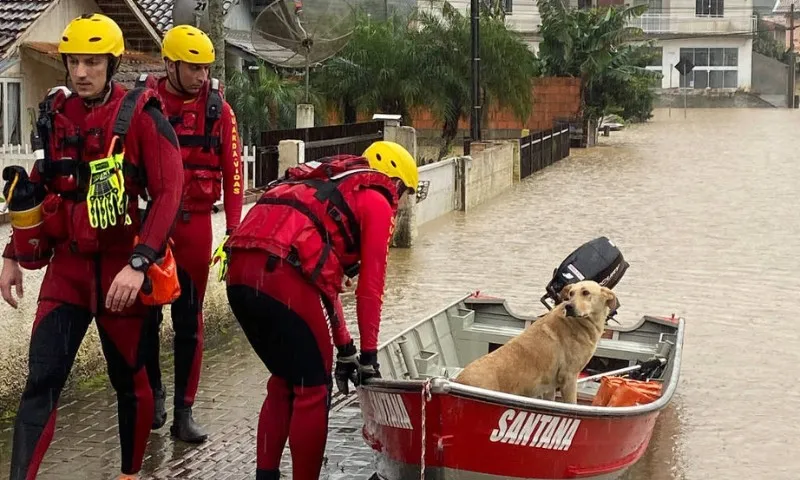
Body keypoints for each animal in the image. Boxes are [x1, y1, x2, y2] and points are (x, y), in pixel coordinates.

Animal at [454, 280, 616, 404]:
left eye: (586, 292)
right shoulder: (569, 378)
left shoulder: (550, 387)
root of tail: (459, 381)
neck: (579, 323)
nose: (569, 306)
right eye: (571, 293)